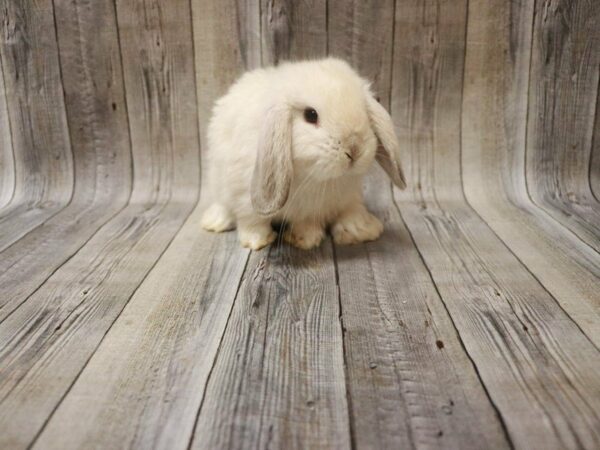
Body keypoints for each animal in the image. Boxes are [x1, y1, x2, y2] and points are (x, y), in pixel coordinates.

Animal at [199, 57, 406, 250]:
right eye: (310, 115)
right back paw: (214, 223)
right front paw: (258, 241)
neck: (317, 179)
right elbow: (253, 221)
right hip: (219, 184)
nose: (354, 149)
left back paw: (360, 232)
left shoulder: (313, 209)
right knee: (223, 205)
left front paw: (304, 241)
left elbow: (307, 224)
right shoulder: (245, 197)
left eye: (364, 110)